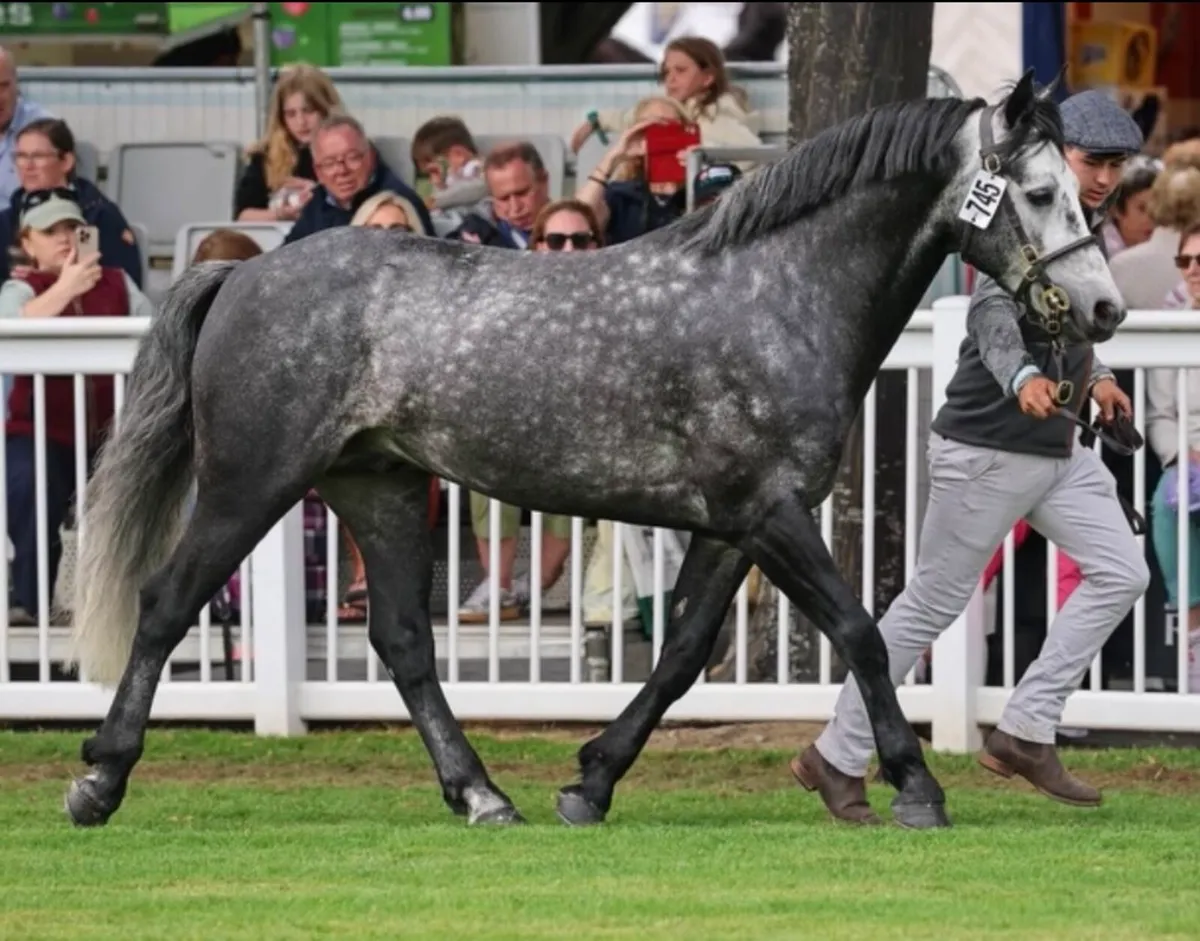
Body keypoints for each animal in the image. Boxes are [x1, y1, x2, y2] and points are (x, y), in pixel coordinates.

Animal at [63, 69, 1124, 832]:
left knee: (404, 642)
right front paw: (915, 787)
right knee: (166, 604)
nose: (1105, 308)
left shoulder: (733, 525)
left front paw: (591, 780)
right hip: (250, 484)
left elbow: (684, 654)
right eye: (1040, 191)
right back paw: (99, 783)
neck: (778, 294)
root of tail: (241, 276)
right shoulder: (772, 516)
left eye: (1085, 192)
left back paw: (484, 795)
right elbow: (860, 632)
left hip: (381, 488)